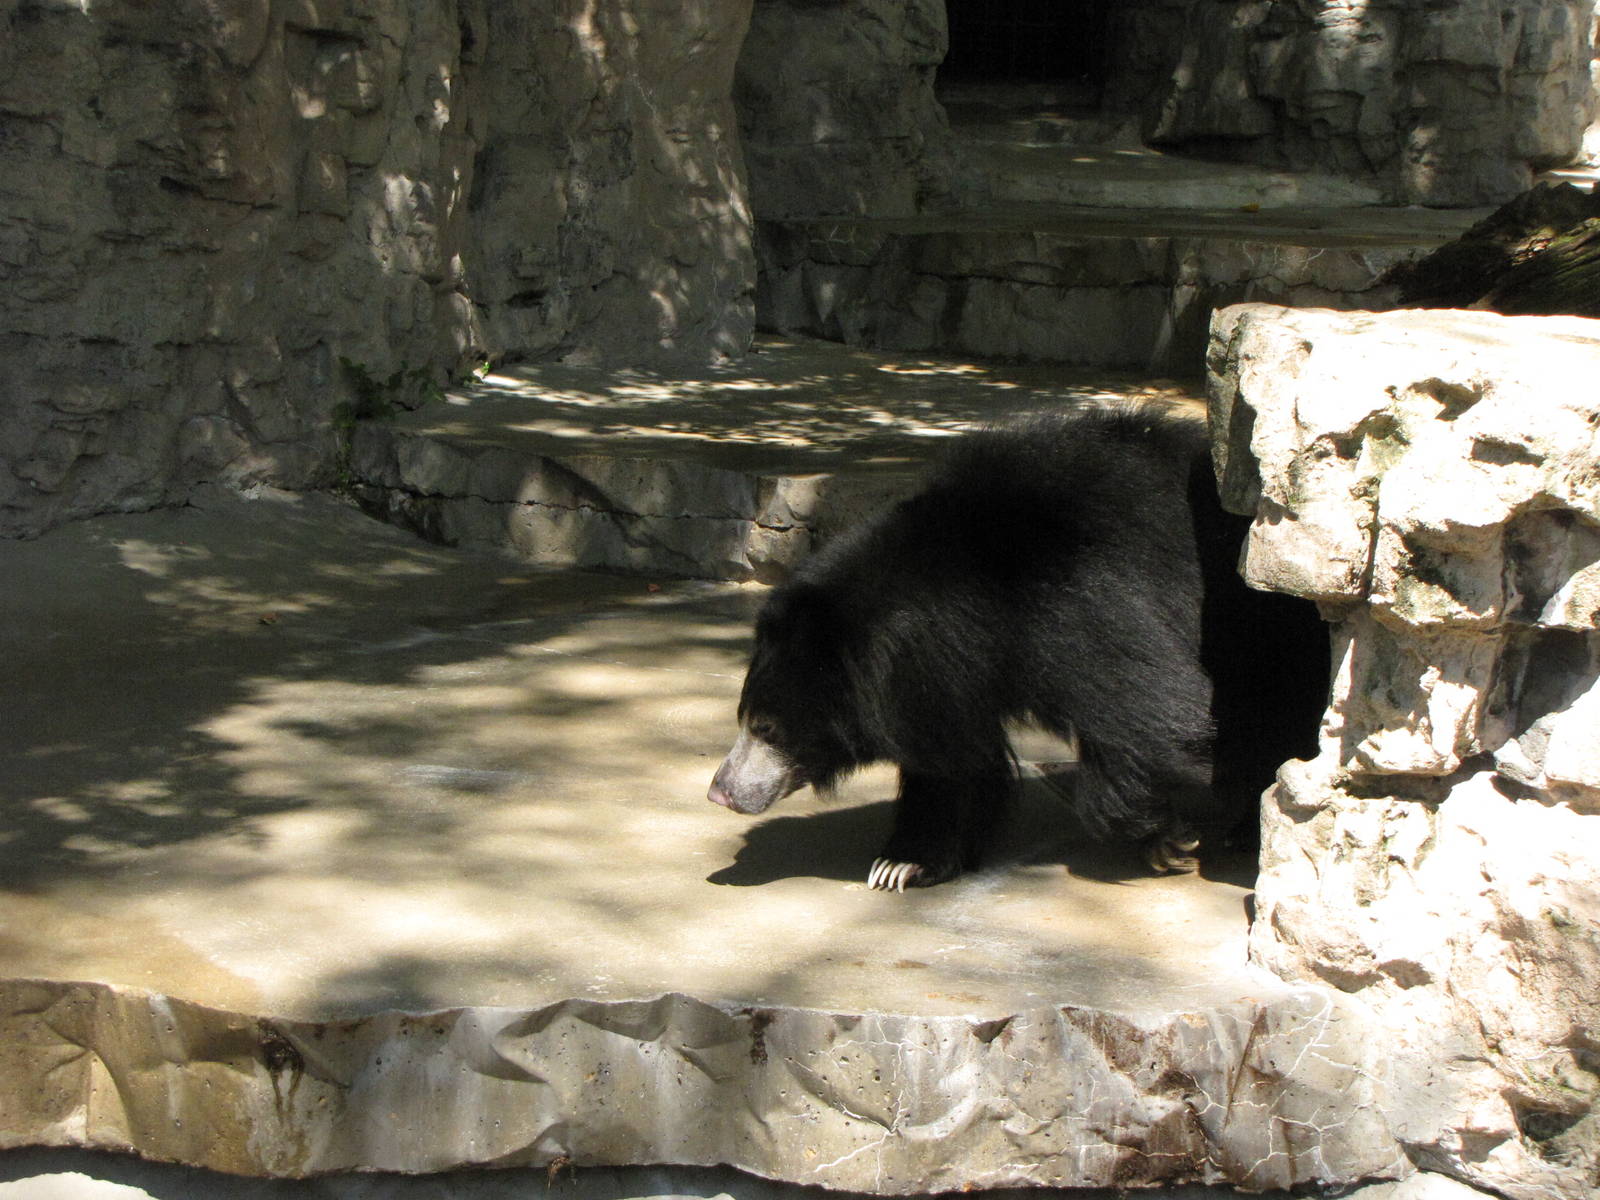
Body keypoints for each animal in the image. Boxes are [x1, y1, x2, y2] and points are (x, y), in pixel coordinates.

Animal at [707, 403, 1327, 891]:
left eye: (767, 728)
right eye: (743, 719)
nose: (721, 792)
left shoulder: (1084, 600)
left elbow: (1145, 704)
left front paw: (1167, 839)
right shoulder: (948, 673)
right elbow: (951, 762)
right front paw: (905, 862)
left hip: (1264, 625)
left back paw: (1245, 829)